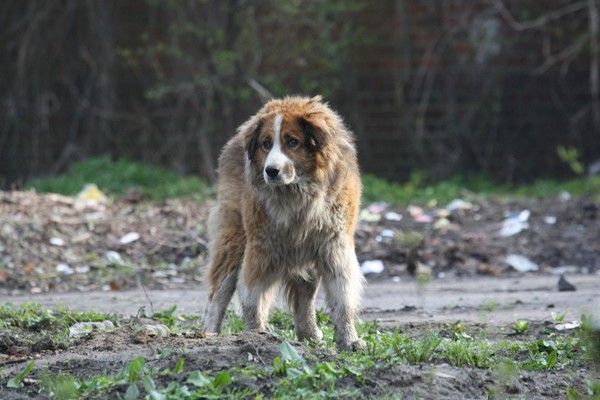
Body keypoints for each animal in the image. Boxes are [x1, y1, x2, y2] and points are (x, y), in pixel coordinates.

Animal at [204, 94, 366, 350]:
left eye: (292, 142)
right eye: (266, 144)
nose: (271, 171)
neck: (298, 194)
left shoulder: (334, 245)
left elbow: (343, 297)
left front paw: (349, 340)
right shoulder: (260, 247)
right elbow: (252, 296)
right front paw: (254, 334)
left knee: (305, 294)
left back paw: (308, 333)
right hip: (234, 238)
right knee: (218, 292)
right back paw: (210, 333)